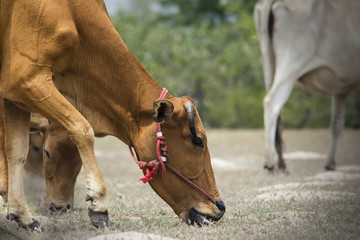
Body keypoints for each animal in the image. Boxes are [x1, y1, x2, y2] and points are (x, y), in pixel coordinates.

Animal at [0, 0, 225, 231]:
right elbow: (83, 129)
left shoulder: (13, 95)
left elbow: (16, 151)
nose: (220, 207)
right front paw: (99, 206)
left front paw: (22, 216)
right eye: (198, 140)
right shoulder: (25, 79)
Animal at [253, 0, 360, 172]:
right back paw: (270, 164)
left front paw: (330, 163)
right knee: (272, 102)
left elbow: (336, 123)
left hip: (268, 62)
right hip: (292, 61)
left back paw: (280, 162)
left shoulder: (341, 87)